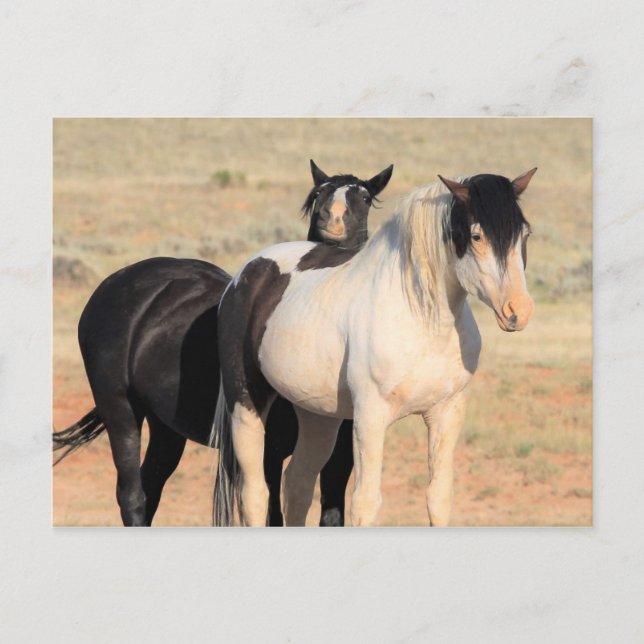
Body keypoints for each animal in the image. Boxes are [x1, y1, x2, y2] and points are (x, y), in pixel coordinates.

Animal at [53, 160, 394, 527]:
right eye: (319, 194)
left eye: (365, 198)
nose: (331, 220)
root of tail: (114, 283)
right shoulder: (268, 452)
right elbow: (272, 514)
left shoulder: (339, 459)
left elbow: (331, 516)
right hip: (121, 410)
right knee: (132, 496)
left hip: (166, 428)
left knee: (150, 489)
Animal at [212, 169, 537, 527]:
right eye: (477, 236)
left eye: (525, 233)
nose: (518, 311)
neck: (423, 320)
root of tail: (245, 275)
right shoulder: (370, 417)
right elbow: (365, 504)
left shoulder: (446, 412)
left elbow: (438, 497)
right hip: (246, 406)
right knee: (255, 494)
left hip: (317, 414)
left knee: (297, 482)